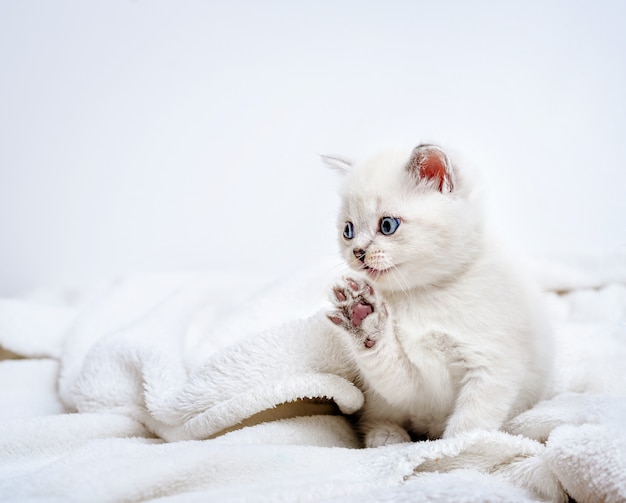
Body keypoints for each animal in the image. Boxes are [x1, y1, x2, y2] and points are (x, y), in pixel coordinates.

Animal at [326, 145, 552, 448]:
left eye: (387, 225)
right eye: (348, 231)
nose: (358, 252)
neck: (426, 292)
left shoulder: (493, 365)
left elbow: (472, 421)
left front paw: (458, 449)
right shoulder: (417, 390)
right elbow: (391, 375)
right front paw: (361, 316)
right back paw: (385, 435)